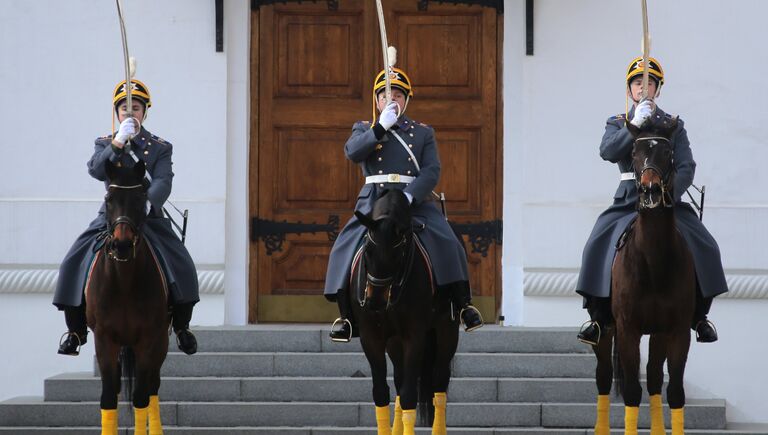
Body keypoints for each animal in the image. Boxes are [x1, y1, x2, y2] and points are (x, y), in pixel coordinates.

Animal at [87, 160, 171, 435]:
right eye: (108, 198)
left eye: (141, 198)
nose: (121, 245)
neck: (123, 281)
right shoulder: (103, 339)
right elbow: (108, 398)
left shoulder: (148, 339)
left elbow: (141, 398)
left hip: (161, 342)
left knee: (152, 387)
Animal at [352, 190, 460, 435]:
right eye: (368, 250)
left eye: (397, 254)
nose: (374, 302)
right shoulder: (371, 336)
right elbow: (381, 393)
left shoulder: (415, 335)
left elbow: (410, 395)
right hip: (394, 341)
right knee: (400, 382)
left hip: (447, 330)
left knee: (439, 385)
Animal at [588, 116, 696, 435]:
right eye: (634, 153)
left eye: (667, 152)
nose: (650, 191)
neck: (653, 262)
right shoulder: (627, 329)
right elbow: (632, 393)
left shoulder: (677, 330)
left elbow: (674, 392)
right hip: (604, 330)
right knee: (603, 378)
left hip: (658, 334)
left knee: (655, 380)